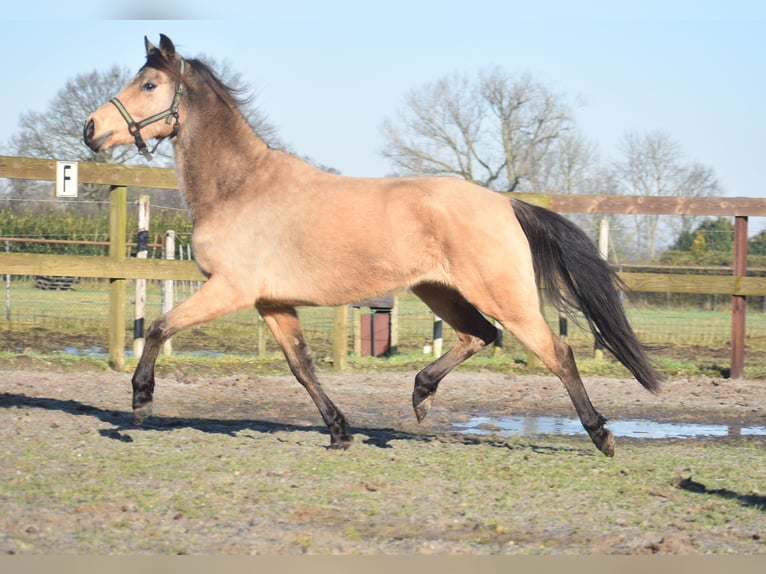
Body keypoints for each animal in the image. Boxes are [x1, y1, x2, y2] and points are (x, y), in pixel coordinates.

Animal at [82, 35, 660, 460]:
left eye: (149, 83)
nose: (91, 129)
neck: (240, 187)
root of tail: (505, 203)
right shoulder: (272, 303)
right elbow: (302, 366)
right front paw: (340, 431)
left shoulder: (230, 289)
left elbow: (158, 328)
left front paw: (140, 400)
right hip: (439, 291)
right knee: (479, 335)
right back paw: (421, 396)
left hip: (505, 296)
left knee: (555, 352)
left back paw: (602, 436)